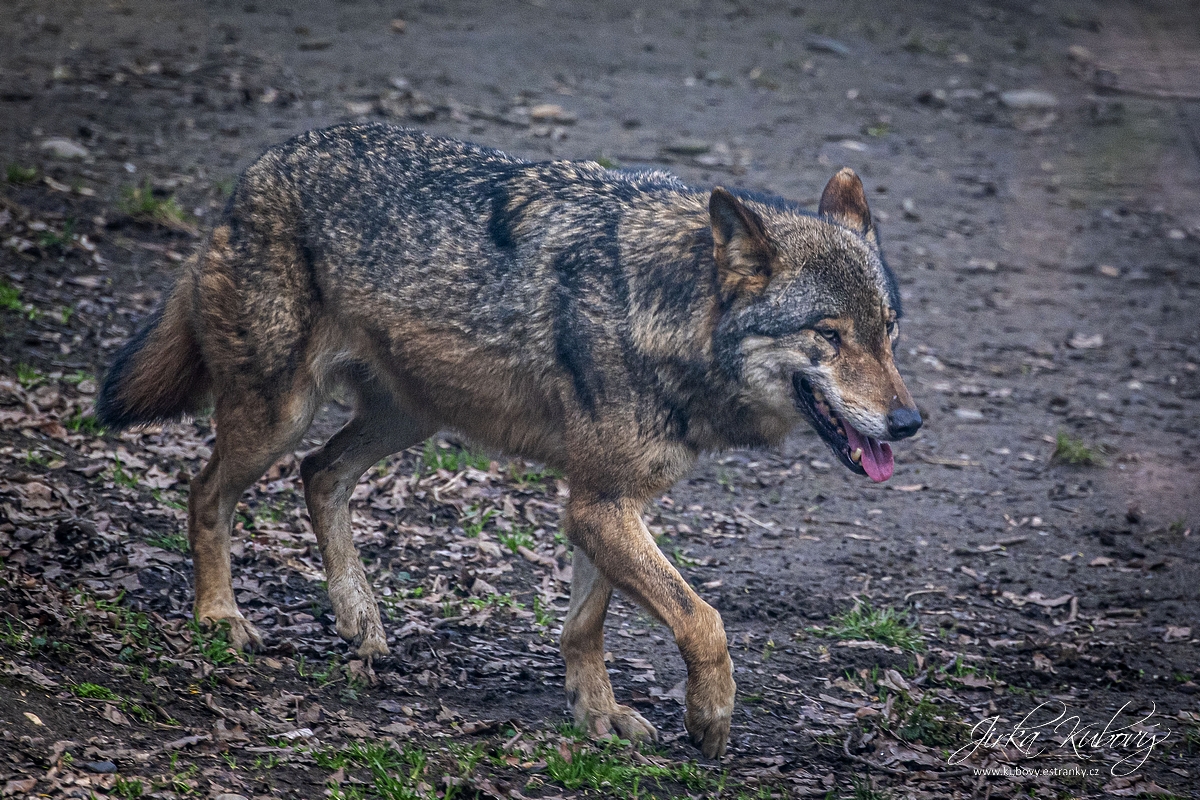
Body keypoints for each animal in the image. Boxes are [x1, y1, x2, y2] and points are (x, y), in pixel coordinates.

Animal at [96, 123, 916, 758]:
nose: (908, 424)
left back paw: (359, 616)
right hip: (279, 416)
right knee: (207, 491)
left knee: (319, 474)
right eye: (830, 336)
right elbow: (703, 620)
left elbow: (586, 625)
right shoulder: (599, 505)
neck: (664, 312)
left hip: (406, 421)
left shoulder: (604, 505)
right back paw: (220, 618)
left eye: (888, 331)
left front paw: (596, 715)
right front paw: (709, 718)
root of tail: (258, 170)